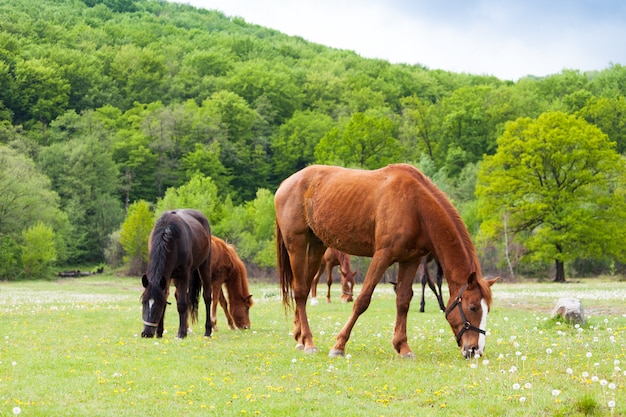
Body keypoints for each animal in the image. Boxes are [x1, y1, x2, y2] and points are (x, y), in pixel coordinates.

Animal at [140, 208, 211, 338]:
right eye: (143, 302)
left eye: (158, 304)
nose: (146, 333)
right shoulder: (166, 277)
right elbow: (167, 297)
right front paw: (159, 332)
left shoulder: (183, 275)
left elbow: (182, 304)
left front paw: (181, 334)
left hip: (204, 266)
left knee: (207, 297)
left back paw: (208, 331)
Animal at [272, 162, 498, 358]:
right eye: (472, 307)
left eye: (487, 309)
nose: (475, 350)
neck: (416, 207)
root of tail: (285, 184)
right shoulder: (382, 256)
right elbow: (362, 300)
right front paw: (339, 345)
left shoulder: (411, 260)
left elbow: (403, 301)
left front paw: (403, 347)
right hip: (297, 246)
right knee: (300, 291)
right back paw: (309, 342)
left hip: (316, 248)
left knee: (304, 287)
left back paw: (300, 338)